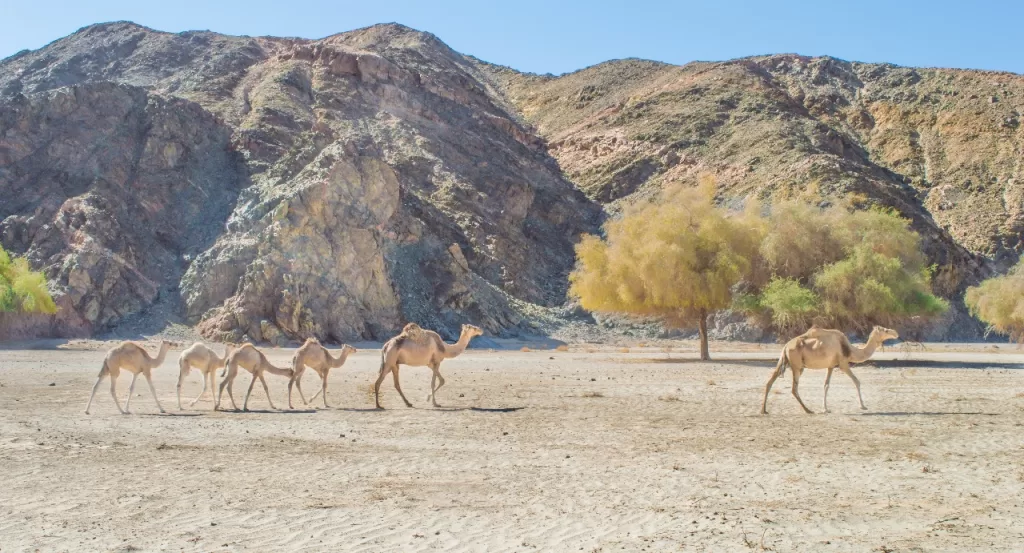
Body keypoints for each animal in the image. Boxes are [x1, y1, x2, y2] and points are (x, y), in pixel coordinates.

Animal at [761, 323, 897, 413]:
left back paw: (763, 410)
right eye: (885, 330)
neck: (849, 350)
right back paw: (808, 410)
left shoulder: (831, 366)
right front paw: (863, 406)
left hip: (784, 361)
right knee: (794, 389)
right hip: (797, 366)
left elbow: (826, 385)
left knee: (770, 381)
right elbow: (856, 381)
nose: (895, 333)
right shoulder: (843, 364)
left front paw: (825, 408)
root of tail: (785, 346)